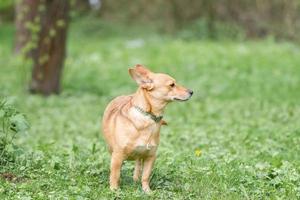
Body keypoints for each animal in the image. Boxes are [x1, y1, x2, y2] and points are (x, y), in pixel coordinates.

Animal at [102, 64, 193, 192]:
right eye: (172, 85)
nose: (191, 92)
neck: (149, 118)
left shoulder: (151, 157)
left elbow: (145, 176)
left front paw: (147, 191)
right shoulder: (117, 157)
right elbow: (115, 175)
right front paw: (115, 190)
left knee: (138, 165)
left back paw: (136, 179)